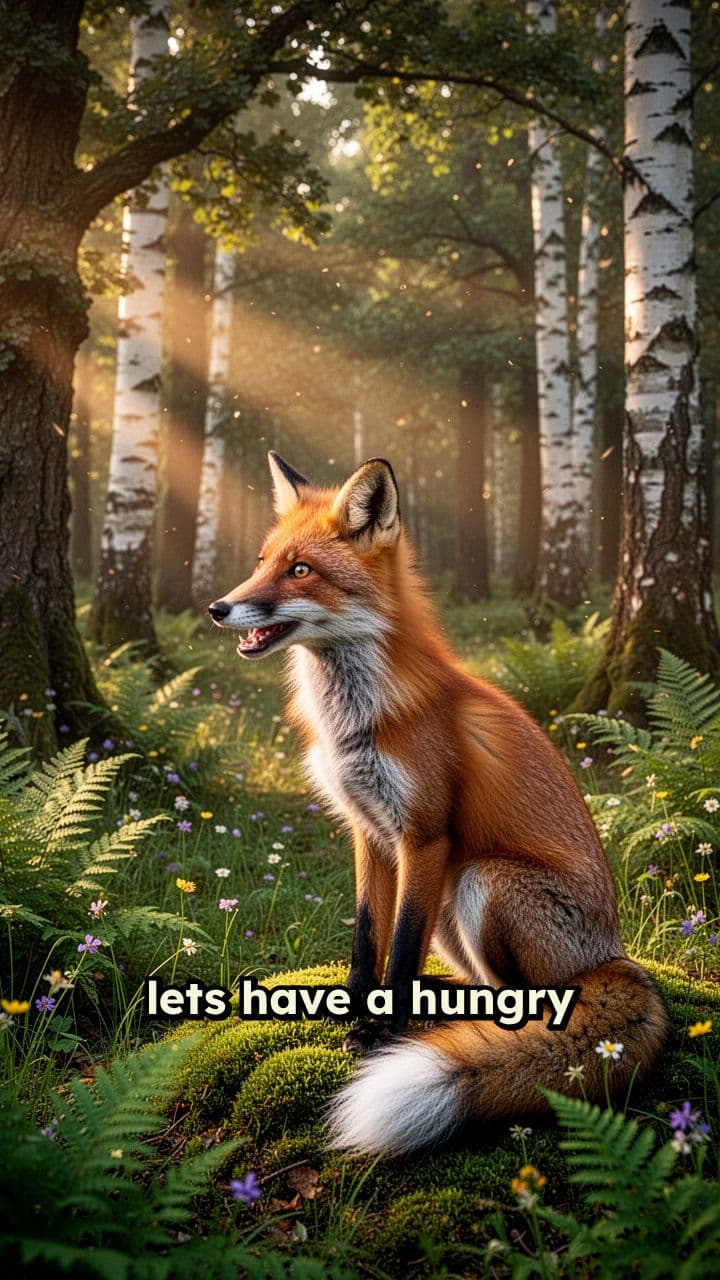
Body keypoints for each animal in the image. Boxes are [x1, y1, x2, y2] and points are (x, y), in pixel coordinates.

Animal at [208, 451, 668, 1156]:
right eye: (261, 561)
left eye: (300, 569)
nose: (218, 608)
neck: (356, 721)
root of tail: (612, 956)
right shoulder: (368, 831)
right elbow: (368, 937)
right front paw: (355, 1009)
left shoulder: (424, 835)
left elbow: (399, 950)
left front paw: (382, 1036)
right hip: (454, 913)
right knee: (482, 982)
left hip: (481, 881)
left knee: (526, 999)